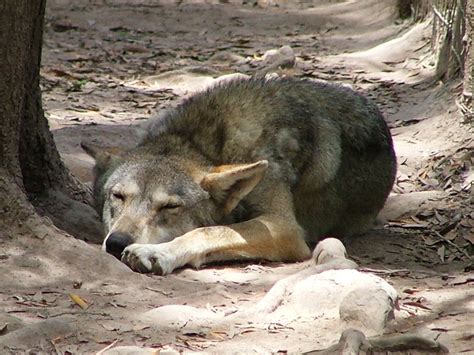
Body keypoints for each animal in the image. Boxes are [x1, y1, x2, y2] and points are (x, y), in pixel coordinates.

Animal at [81, 78, 396, 276]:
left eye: (170, 207)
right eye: (118, 196)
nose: (117, 242)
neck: (204, 144)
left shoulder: (284, 227)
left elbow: (207, 231)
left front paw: (156, 253)